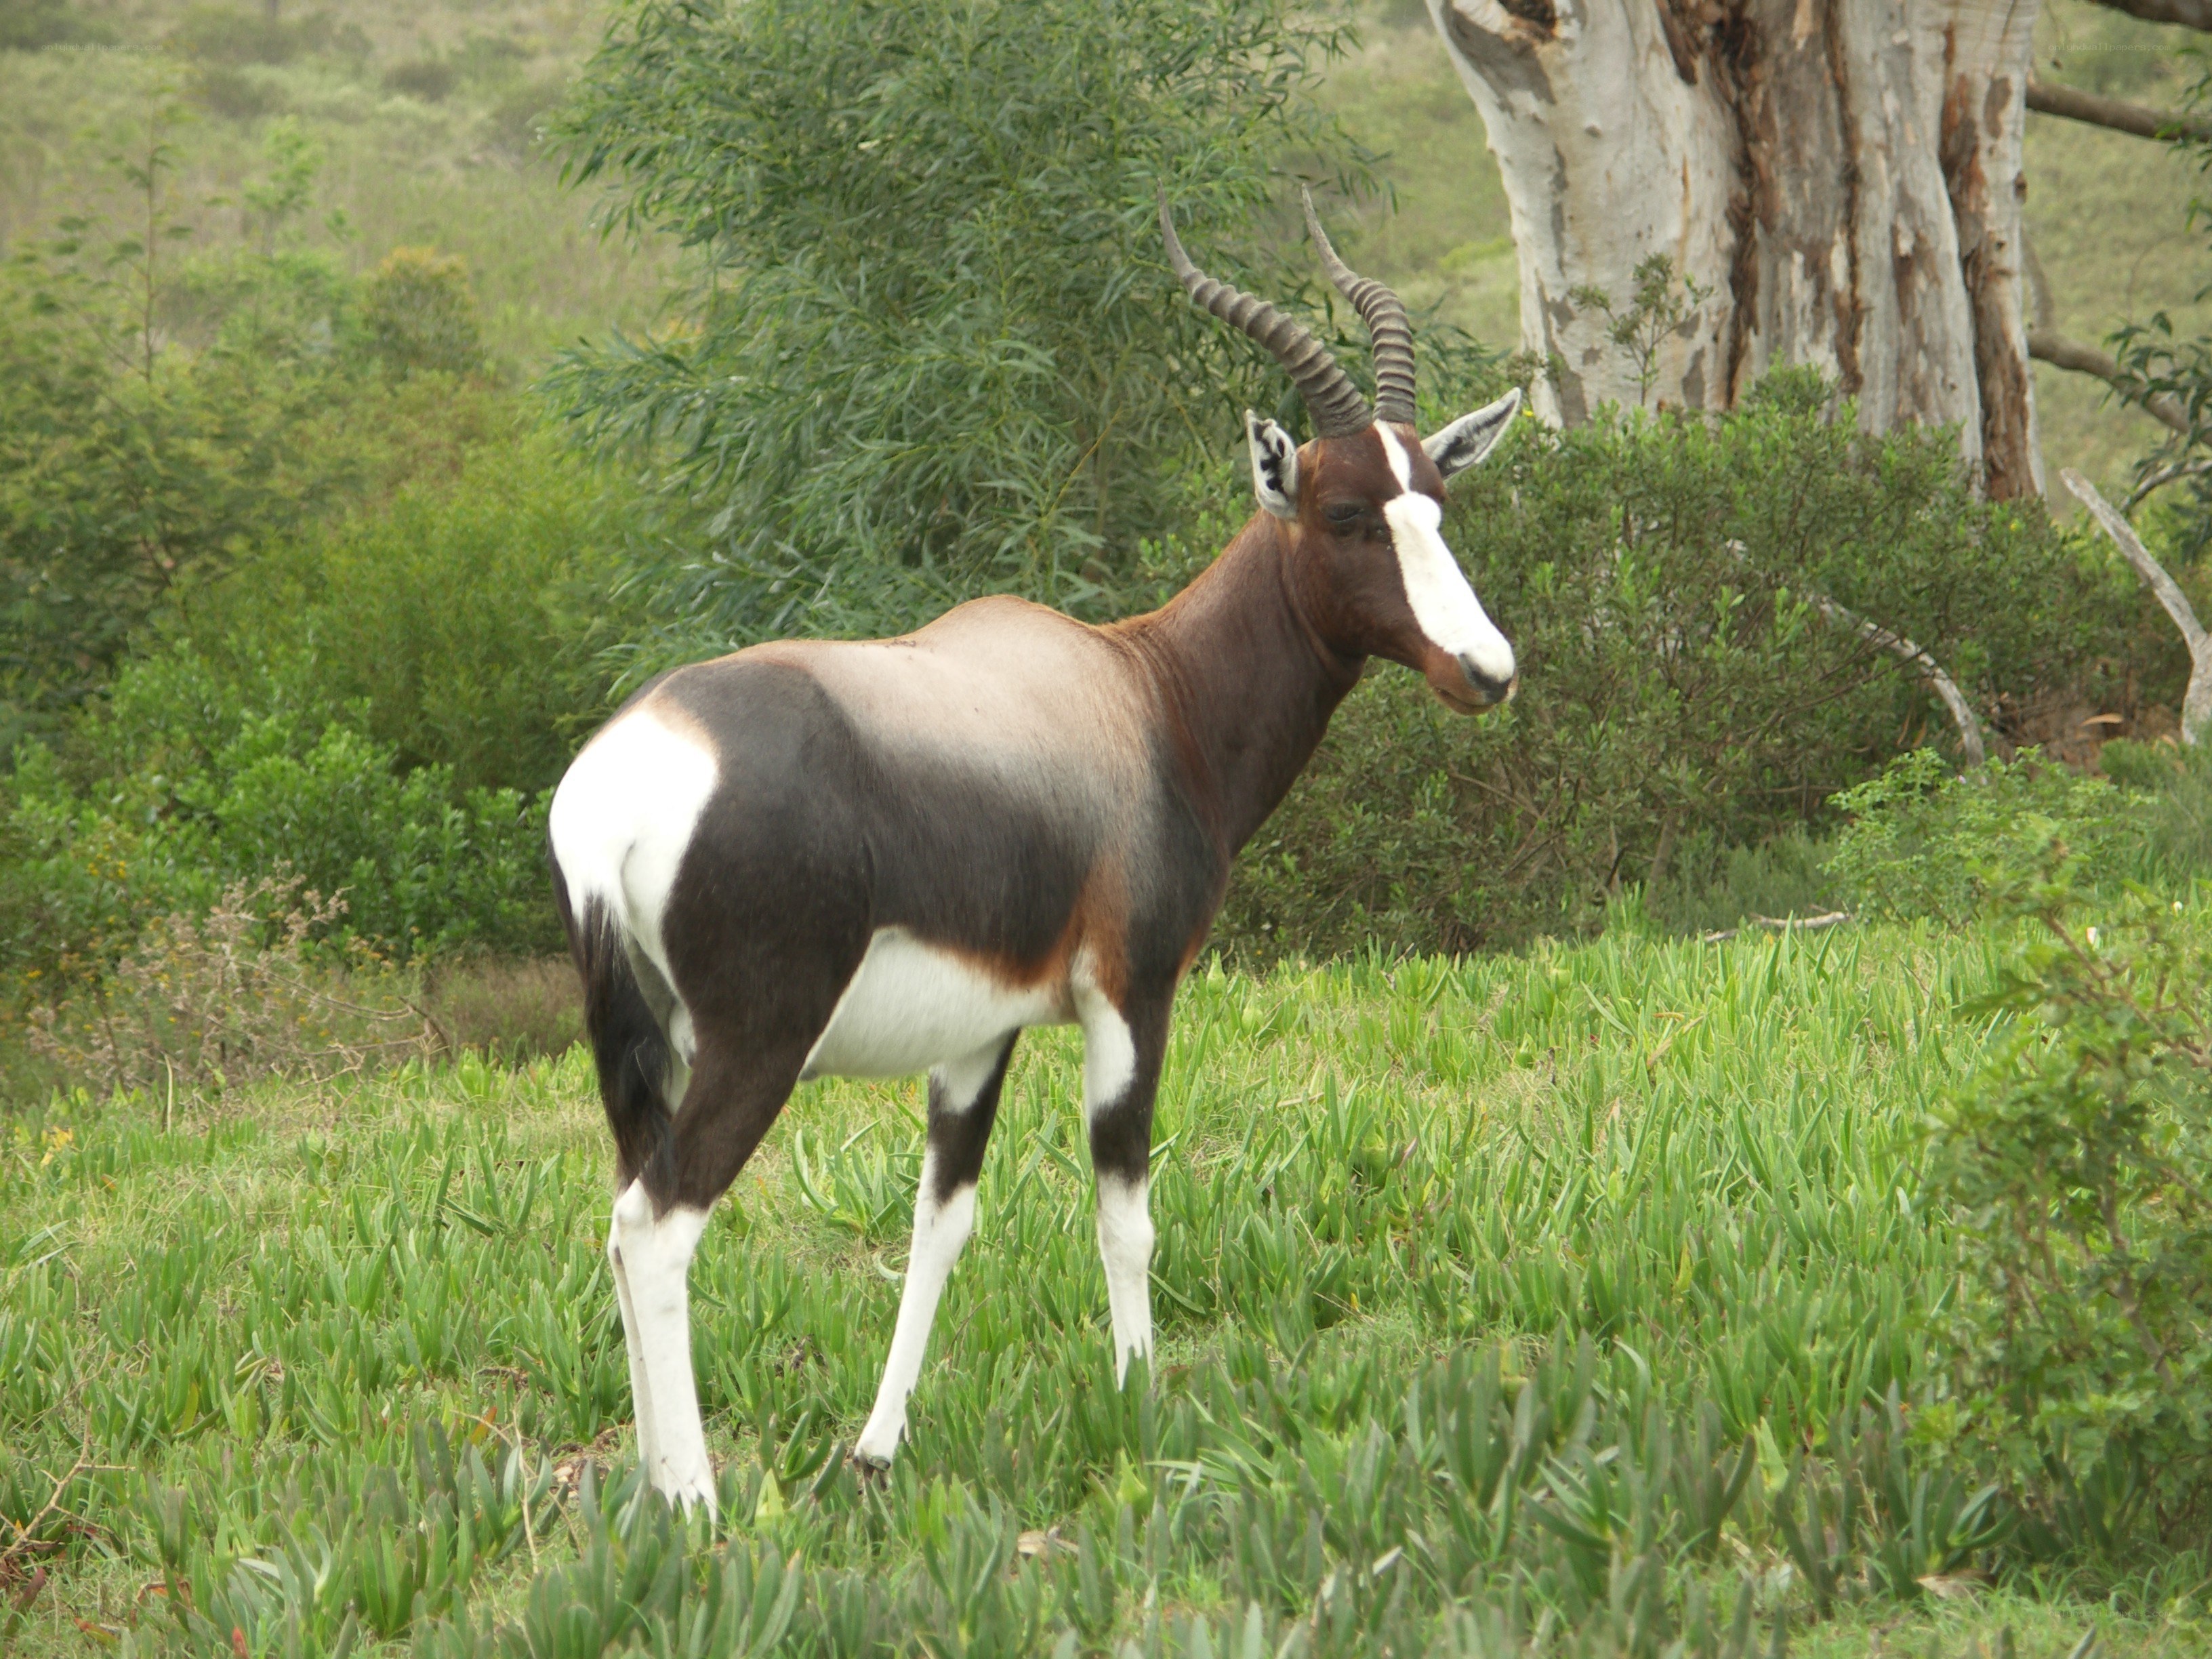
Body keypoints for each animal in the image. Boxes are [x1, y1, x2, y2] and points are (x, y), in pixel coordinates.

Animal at [548, 193, 1523, 1511]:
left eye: (1436, 501)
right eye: (1344, 513)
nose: (1485, 669)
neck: (1138, 689)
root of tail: (625, 779)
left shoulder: (978, 1034)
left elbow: (941, 1220)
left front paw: (877, 1447)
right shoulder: (1131, 994)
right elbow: (1125, 1206)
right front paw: (1141, 1406)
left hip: (641, 1048)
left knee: (621, 1211)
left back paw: (658, 1489)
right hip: (757, 1044)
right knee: (658, 1224)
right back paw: (697, 1504)